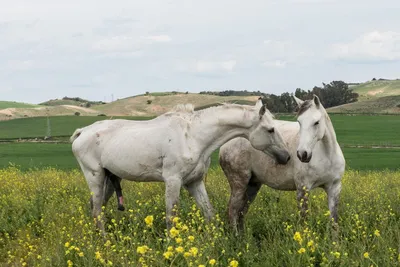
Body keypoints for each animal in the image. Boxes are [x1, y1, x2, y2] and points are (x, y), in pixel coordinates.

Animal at [71, 99, 290, 233]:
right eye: (270, 129)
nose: (287, 157)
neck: (192, 136)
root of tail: (82, 132)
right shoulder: (173, 181)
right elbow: (171, 217)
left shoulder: (194, 182)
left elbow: (209, 213)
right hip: (95, 177)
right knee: (97, 211)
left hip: (109, 179)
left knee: (97, 208)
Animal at [217, 95, 346, 233]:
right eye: (299, 122)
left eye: (316, 122)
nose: (302, 154)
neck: (327, 155)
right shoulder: (303, 189)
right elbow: (304, 221)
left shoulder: (334, 188)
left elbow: (334, 223)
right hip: (239, 183)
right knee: (233, 211)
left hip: (252, 185)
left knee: (242, 212)